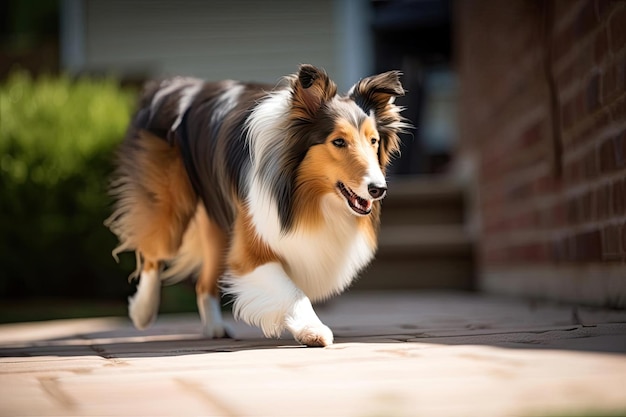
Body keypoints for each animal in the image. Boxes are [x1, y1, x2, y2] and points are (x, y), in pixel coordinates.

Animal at [105, 64, 408, 344]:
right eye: (339, 142)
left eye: (373, 141)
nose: (378, 189)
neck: (303, 197)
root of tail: (182, 85)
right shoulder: (252, 248)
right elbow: (292, 290)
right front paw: (312, 329)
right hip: (171, 206)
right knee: (154, 253)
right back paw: (143, 312)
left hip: (219, 228)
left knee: (203, 283)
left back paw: (214, 327)